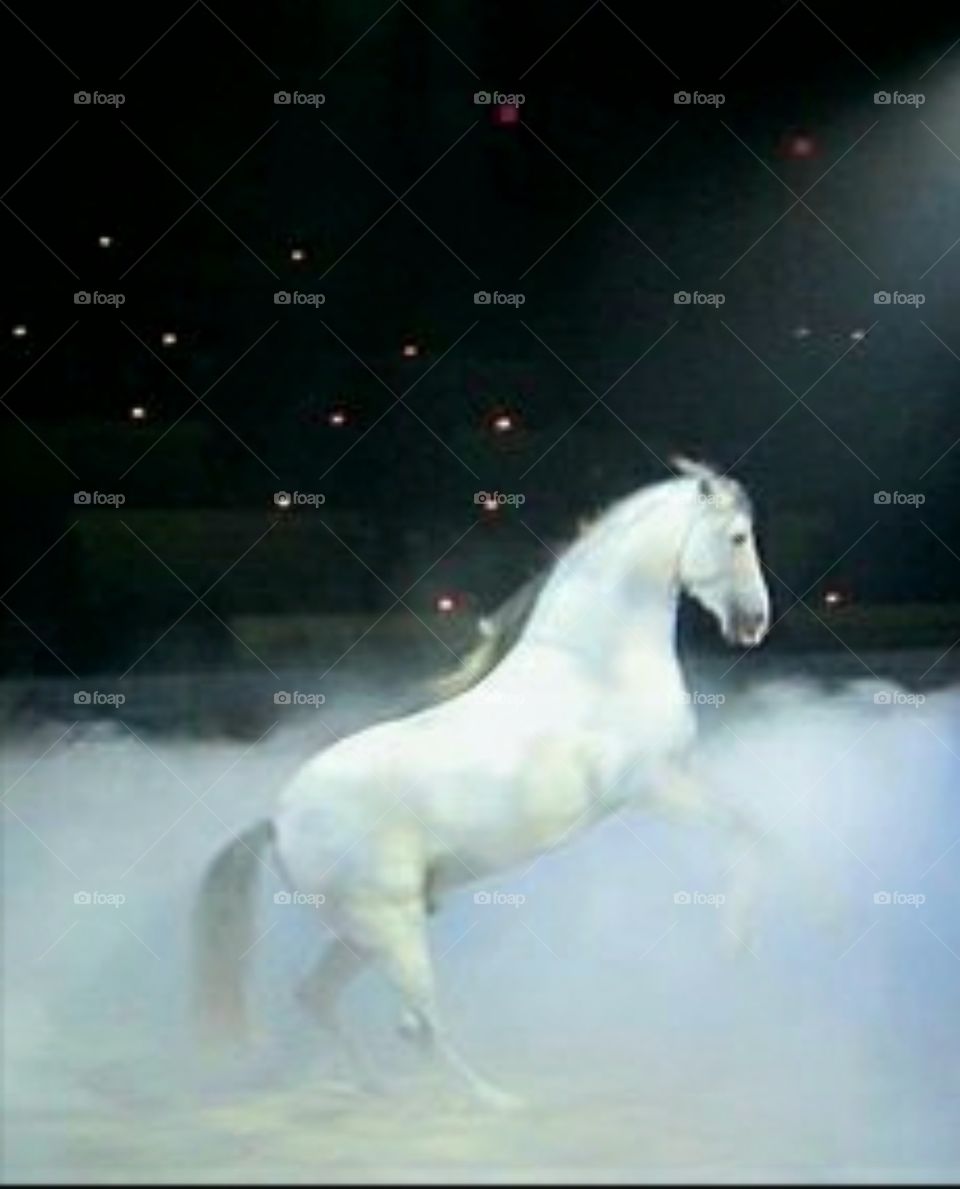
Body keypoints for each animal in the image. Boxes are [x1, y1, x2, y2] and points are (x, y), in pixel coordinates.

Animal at [192, 457, 772, 1106]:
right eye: (738, 538)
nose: (754, 623)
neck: (596, 664)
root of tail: (277, 819)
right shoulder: (651, 785)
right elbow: (748, 830)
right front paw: (734, 943)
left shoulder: (669, 781)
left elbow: (747, 828)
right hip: (387, 924)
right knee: (418, 1025)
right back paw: (494, 1101)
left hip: (371, 927)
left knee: (319, 997)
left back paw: (377, 1090)